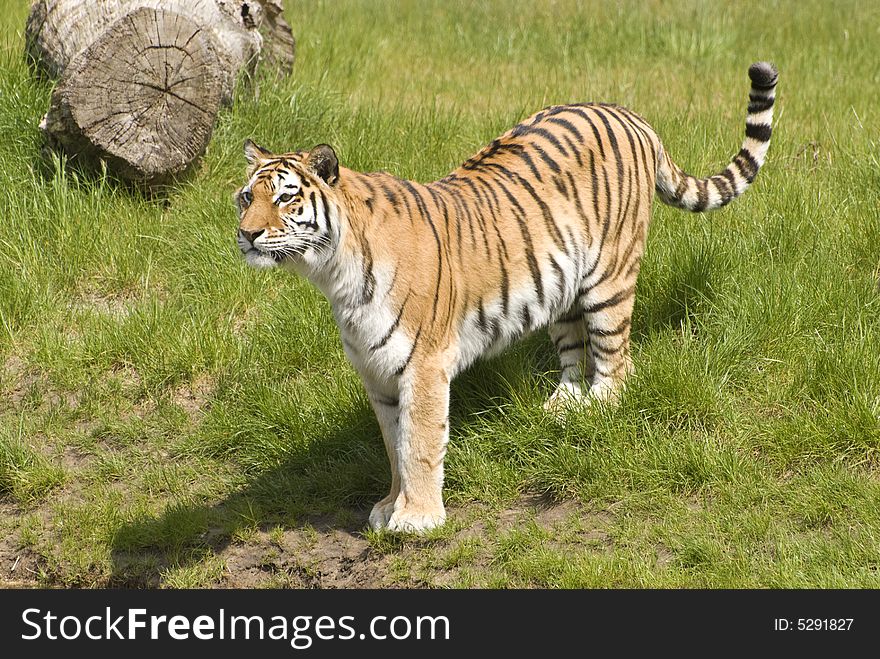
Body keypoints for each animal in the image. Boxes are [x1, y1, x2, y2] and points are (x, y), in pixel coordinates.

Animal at [234, 62, 776, 536]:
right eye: (246, 197)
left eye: (285, 198)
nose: (247, 234)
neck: (332, 275)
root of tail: (627, 112)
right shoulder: (377, 371)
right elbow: (393, 445)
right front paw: (390, 505)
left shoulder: (423, 365)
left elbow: (419, 443)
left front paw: (417, 519)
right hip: (560, 283)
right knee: (576, 351)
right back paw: (563, 405)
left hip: (610, 276)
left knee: (617, 360)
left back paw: (598, 408)